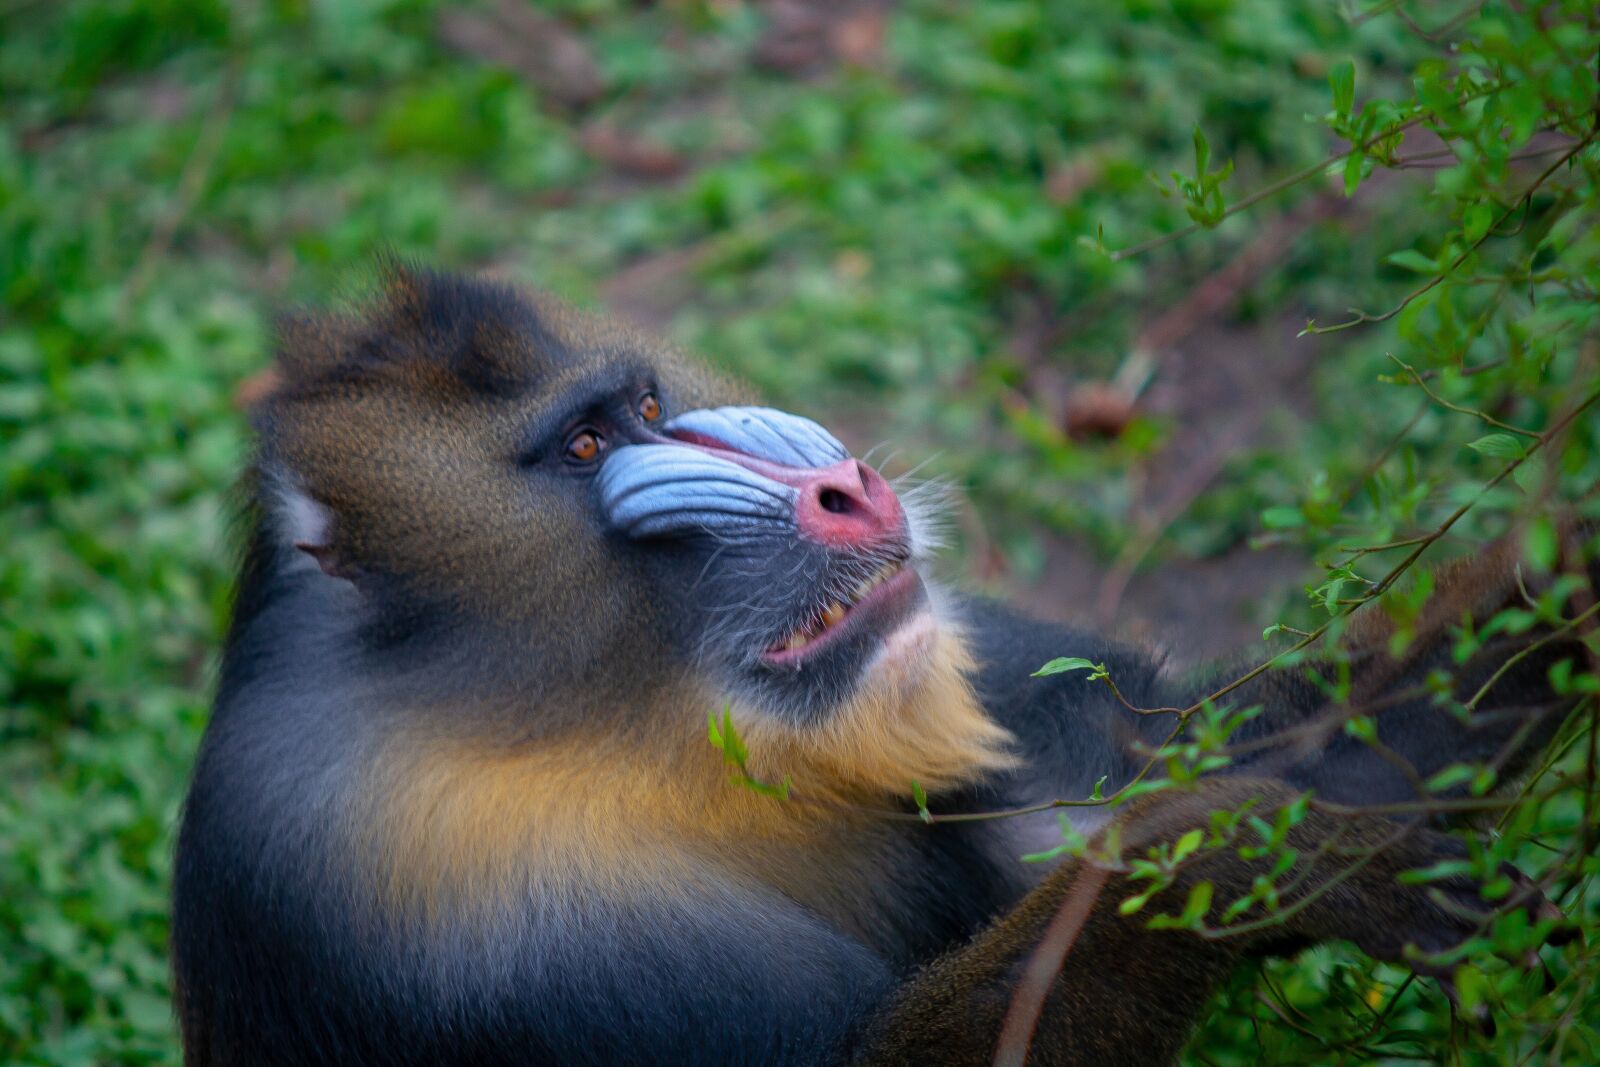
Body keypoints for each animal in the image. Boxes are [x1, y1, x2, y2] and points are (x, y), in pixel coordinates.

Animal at [170, 266, 1592, 1066]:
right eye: (581, 448)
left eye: (641, 409)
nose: (846, 489)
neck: (592, 723)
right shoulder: (437, 901)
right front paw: (1279, 855)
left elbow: (1201, 752)